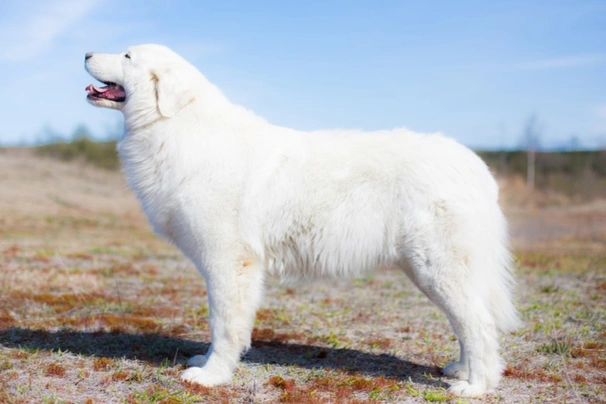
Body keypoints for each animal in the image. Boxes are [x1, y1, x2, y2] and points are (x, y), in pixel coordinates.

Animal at [84, 44, 524, 398]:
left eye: (127, 56)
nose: (85, 54)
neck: (176, 125)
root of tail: (476, 166)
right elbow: (223, 326)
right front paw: (205, 362)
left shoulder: (228, 262)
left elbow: (223, 324)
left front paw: (211, 376)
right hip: (429, 271)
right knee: (467, 323)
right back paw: (461, 369)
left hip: (438, 267)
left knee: (479, 324)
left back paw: (475, 385)